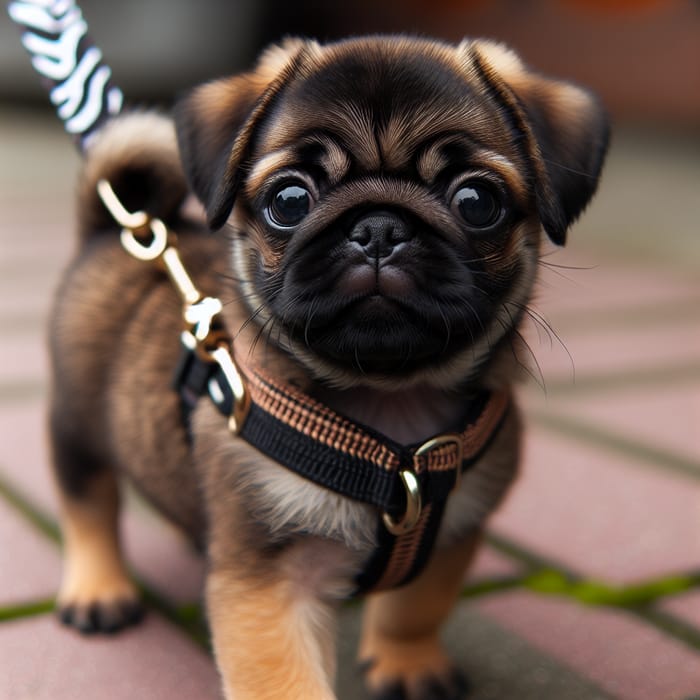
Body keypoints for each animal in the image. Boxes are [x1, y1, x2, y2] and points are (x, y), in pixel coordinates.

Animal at [50, 35, 608, 696]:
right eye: (289, 201)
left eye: (477, 202)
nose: (379, 227)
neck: (393, 412)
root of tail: (111, 231)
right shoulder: (270, 586)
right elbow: (287, 681)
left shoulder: (451, 538)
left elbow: (414, 608)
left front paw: (408, 664)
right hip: (76, 428)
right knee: (88, 506)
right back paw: (98, 589)